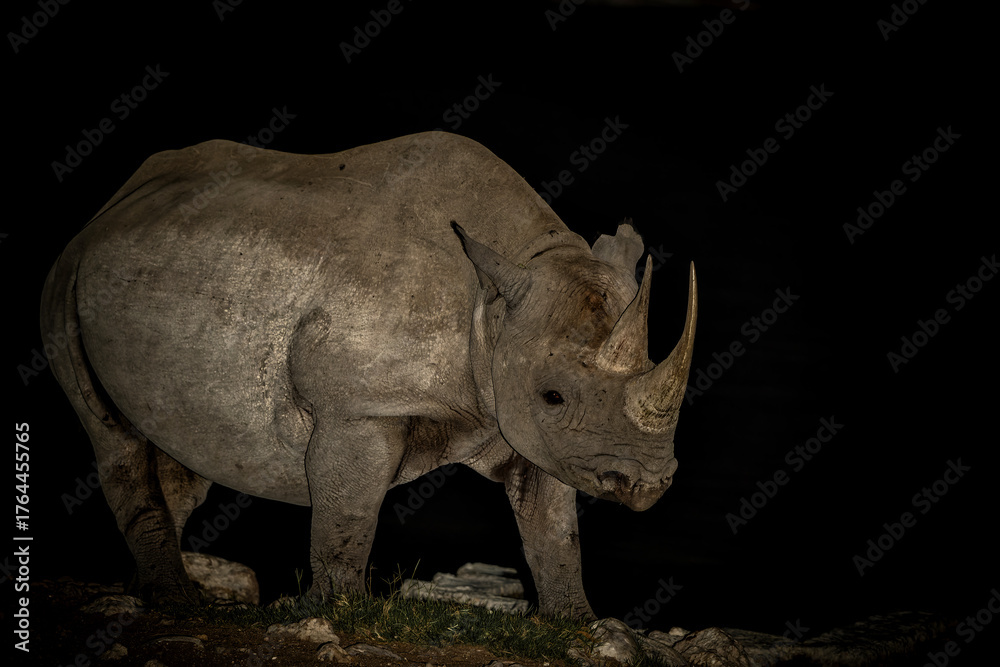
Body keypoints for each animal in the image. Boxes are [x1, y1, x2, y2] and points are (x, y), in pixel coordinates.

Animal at [40, 131, 696, 619]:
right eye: (554, 394)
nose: (647, 483)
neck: (500, 295)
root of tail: (112, 205)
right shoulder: (361, 405)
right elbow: (348, 510)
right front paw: (335, 613)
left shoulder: (531, 423)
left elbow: (554, 529)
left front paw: (577, 626)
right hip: (65, 278)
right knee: (111, 435)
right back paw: (177, 605)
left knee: (178, 449)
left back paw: (146, 597)